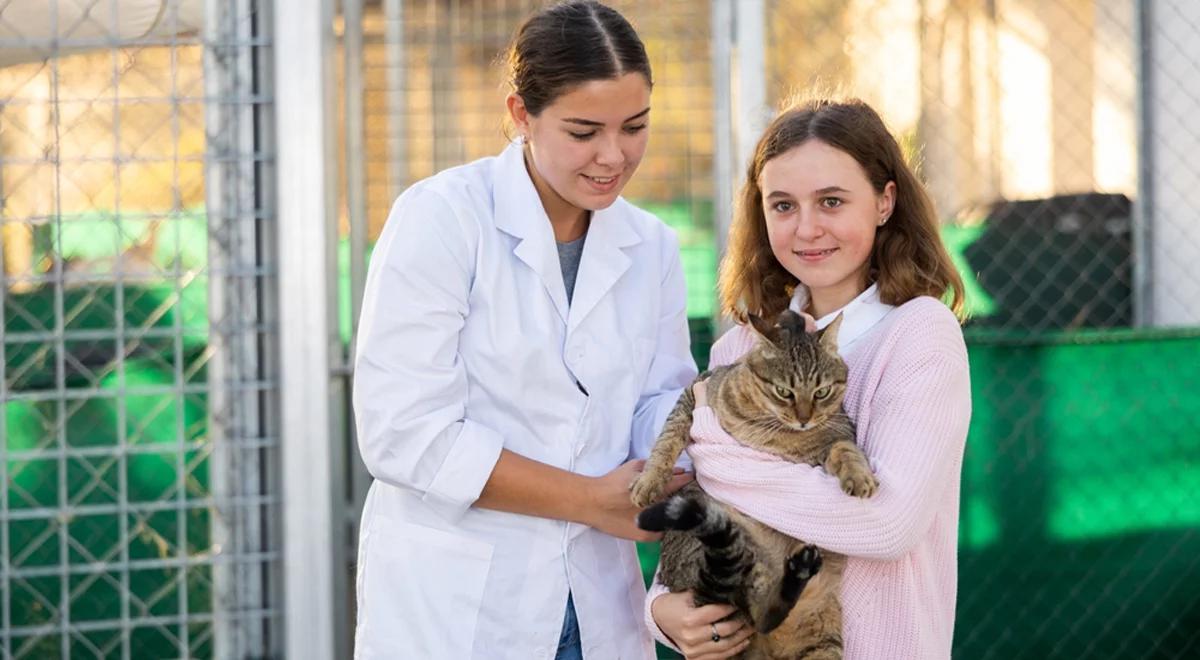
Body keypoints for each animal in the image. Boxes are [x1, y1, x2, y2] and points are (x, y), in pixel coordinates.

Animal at [633, 312, 878, 660]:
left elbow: (846, 450)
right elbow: (668, 437)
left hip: (822, 639)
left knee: (761, 613)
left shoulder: (839, 435)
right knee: (752, 606)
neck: (778, 432)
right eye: (784, 391)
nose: (804, 418)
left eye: (821, 392)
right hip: (711, 536)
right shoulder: (693, 392)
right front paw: (649, 480)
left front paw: (859, 476)